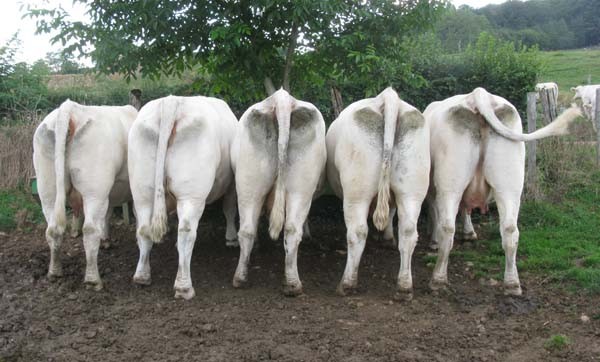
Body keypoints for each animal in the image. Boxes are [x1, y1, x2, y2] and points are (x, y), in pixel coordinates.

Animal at [32, 99, 137, 292]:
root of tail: (69, 108)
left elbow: (108, 214)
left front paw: (106, 239)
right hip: (94, 189)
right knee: (89, 230)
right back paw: (93, 280)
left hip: (47, 188)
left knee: (52, 229)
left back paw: (54, 271)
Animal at [129, 94, 237, 300]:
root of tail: (171, 101)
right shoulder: (232, 185)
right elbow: (229, 210)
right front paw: (231, 238)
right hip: (191, 194)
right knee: (186, 231)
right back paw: (184, 286)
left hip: (142, 191)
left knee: (144, 229)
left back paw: (142, 276)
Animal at [231, 89, 326, 296]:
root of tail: (282, 99)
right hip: (300, 186)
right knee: (290, 228)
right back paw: (292, 284)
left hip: (250, 183)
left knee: (249, 229)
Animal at [326, 88, 428, 300]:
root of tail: (387, 97)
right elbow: (391, 211)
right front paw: (387, 238)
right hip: (412, 189)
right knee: (408, 231)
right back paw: (404, 287)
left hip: (357, 191)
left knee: (357, 231)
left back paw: (347, 284)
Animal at [426, 87, 580, 294]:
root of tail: (479, 94)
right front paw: (469, 233)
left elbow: (439, 212)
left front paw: (436, 240)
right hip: (509, 185)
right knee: (510, 229)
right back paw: (512, 283)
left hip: (450, 184)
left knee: (448, 227)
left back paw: (438, 279)